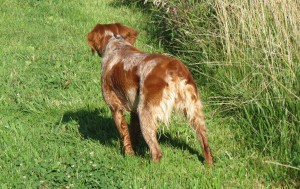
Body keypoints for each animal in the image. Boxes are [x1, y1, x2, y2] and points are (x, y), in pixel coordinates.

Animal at [86, 22, 213, 165]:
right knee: (205, 145)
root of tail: (174, 67)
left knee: (156, 152)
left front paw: (129, 156)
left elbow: (125, 136)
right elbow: (133, 133)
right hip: (195, 112)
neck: (116, 44)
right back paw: (209, 165)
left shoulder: (115, 108)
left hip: (145, 113)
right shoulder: (134, 111)